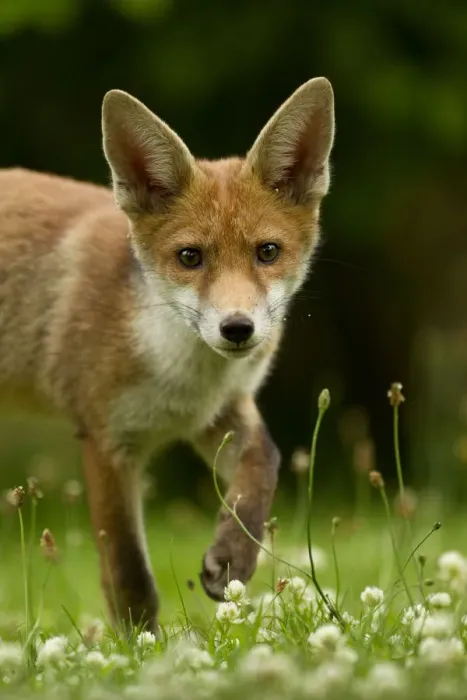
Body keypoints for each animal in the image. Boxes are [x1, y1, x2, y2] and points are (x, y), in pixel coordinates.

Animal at [0, 77, 334, 632]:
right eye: (189, 257)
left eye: (267, 252)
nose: (237, 329)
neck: (179, 374)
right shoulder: (107, 441)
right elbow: (129, 573)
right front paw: (140, 646)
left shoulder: (214, 411)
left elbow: (264, 462)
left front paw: (234, 556)